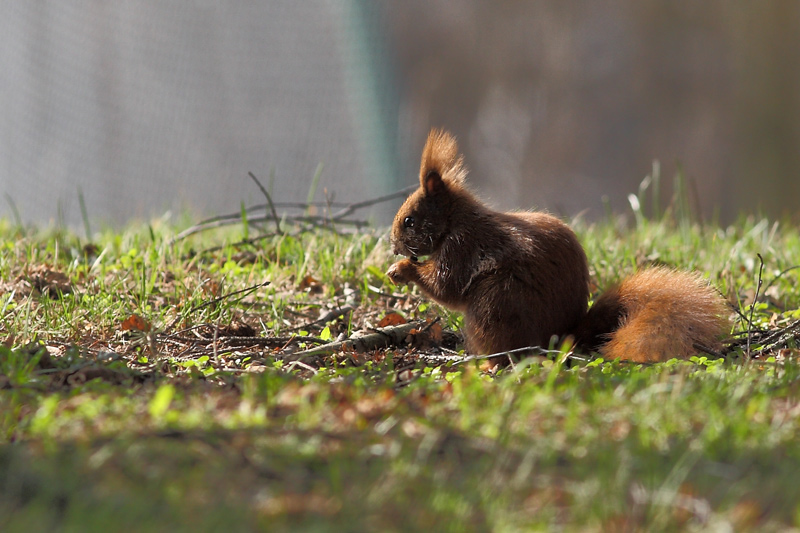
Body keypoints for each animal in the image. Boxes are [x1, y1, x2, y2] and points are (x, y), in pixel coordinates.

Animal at [388, 129, 732, 362]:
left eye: (409, 221)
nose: (393, 247)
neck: (455, 220)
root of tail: (562, 337)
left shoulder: (461, 247)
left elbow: (447, 287)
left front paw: (401, 270)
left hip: (494, 306)